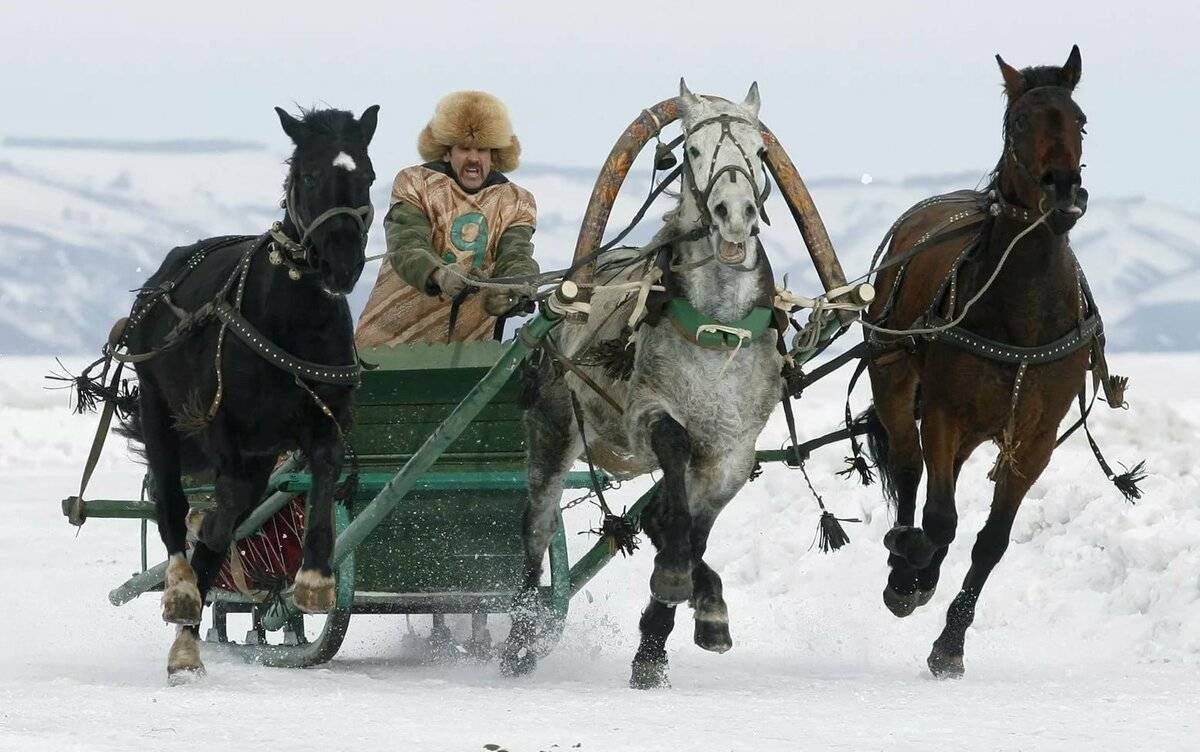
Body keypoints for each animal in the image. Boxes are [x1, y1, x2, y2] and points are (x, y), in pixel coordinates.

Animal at [118, 105, 378, 681]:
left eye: (369, 175)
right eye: (309, 175)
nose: (343, 264)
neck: (292, 318)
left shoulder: (322, 420)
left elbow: (324, 473)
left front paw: (315, 580)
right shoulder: (225, 431)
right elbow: (217, 516)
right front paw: (191, 586)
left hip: (259, 453)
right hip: (160, 411)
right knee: (171, 504)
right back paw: (182, 593)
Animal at [502, 81, 783, 688]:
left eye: (760, 152)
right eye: (693, 151)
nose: (734, 215)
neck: (717, 332)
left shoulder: (732, 450)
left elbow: (695, 529)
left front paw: (665, 636)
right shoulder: (649, 410)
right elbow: (674, 479)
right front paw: (674, 581)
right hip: (554, 426)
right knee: (536, 527)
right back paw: (519, 641)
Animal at [861, 46, 1112, 677]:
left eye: (1081, 122)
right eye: (1018, 122)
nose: (1064, 191)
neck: (1021, 307)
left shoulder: (1035, 436)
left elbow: (991, 541)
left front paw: (951, 641)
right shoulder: (945, 411)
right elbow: (939, 518)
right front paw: (910, 572)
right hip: (893, 374)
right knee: (909, 465)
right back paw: (905, 563)